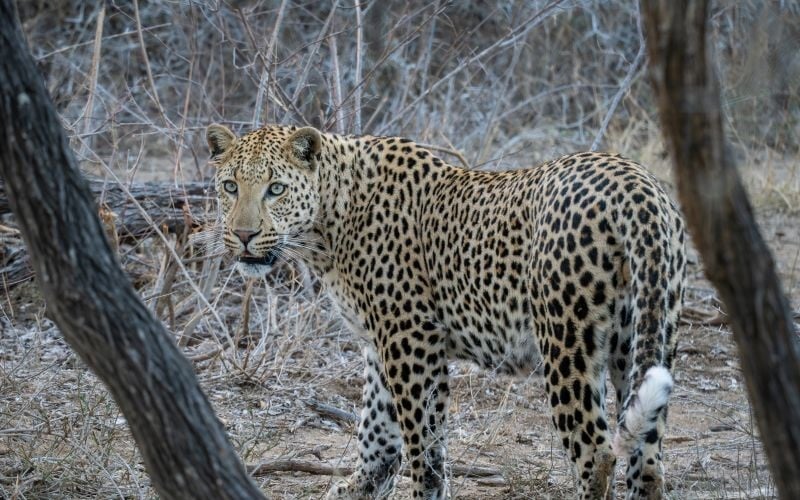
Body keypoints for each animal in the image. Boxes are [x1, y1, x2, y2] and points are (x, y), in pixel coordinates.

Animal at [205, 122, 686, 500]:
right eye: (230, 187)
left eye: (276, 189)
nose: (243, 235)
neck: (326, 227)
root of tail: (635, 183)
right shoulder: (380, 344)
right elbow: (376, 433)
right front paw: (357, 488)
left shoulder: (410, 339)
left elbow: (423, 443)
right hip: (643, 337)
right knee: (647, 461)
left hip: (567, 343)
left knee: (597, 453)